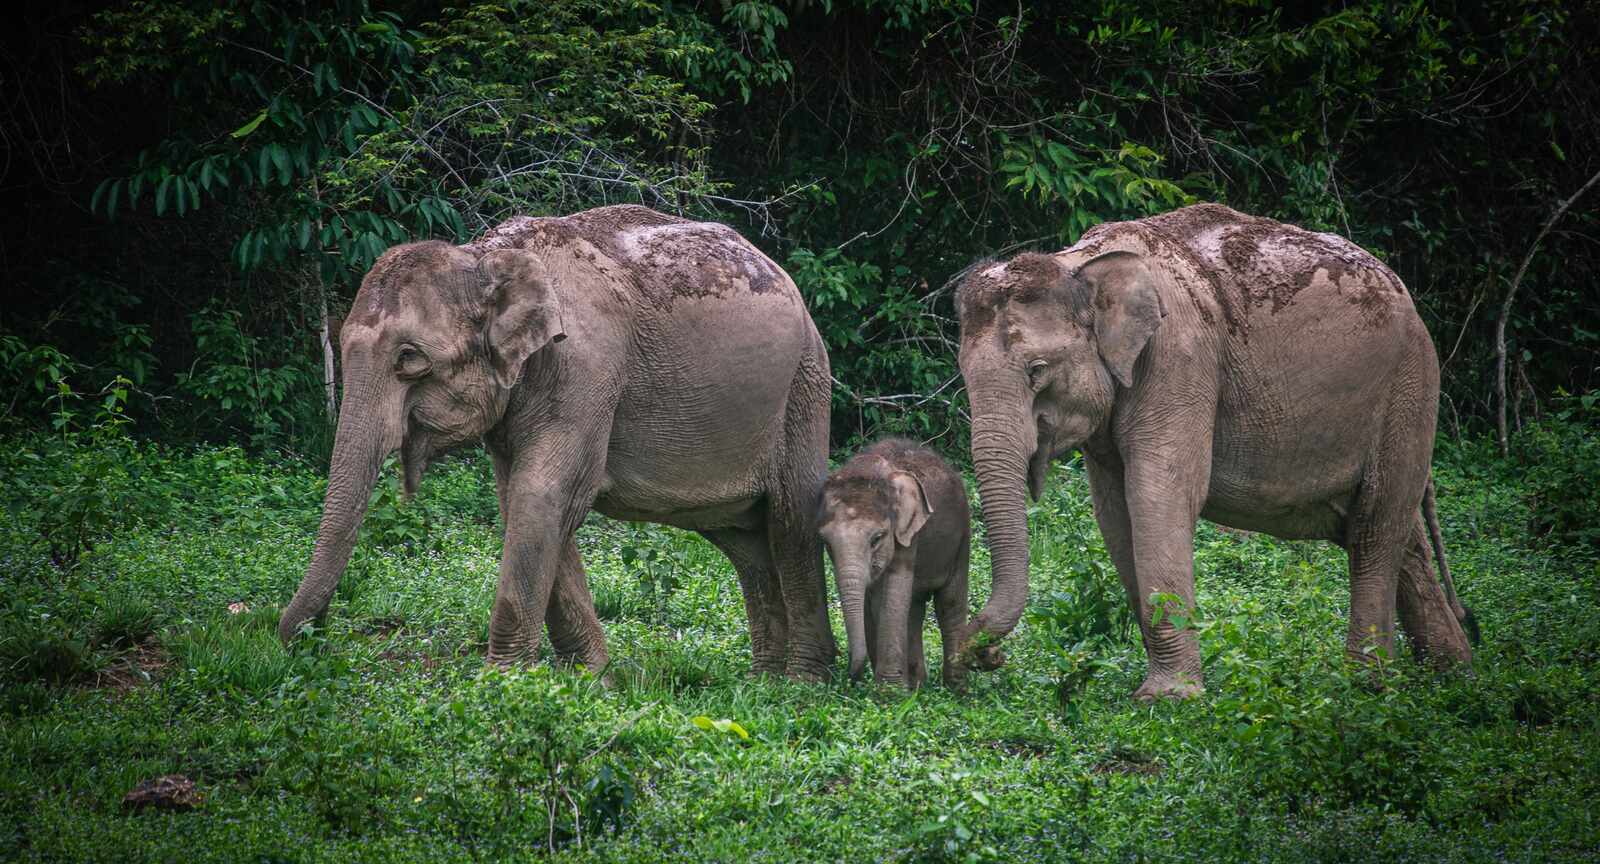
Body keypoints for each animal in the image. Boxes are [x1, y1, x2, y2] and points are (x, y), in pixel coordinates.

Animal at [277, 205, 837, 681]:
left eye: (410, 358)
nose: (309, 637)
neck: (485, 257)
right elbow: (523, 500)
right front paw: (590, 678)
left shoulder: (587, 370)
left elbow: (545, 491)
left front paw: (501, 682)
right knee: (744, 539)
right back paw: (764, 681)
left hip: (804, 386)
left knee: (789, 518)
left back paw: (802, 685)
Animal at [817, 438, 976, 689]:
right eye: (826, 543)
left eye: (877, 538)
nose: (852, 677)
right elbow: (872, 602)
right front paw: (892, 688)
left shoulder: (909, 534)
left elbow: (893, 590)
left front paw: (890, 692)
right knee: (914, 608)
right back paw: (919, 685)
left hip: (962, 536)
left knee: (949, 602)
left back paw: (956, 688)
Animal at [954, 203, 1476, 700]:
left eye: (1037, 370)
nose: (986, 656)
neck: (1079, 263)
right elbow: (1114, 513)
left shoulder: (1179, 360)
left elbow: (1158, 495)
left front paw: (1167, 699)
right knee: (1396, 533)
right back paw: (1451, 676)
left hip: (1410, 388)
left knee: (1374, 530)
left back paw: (1366, 687)